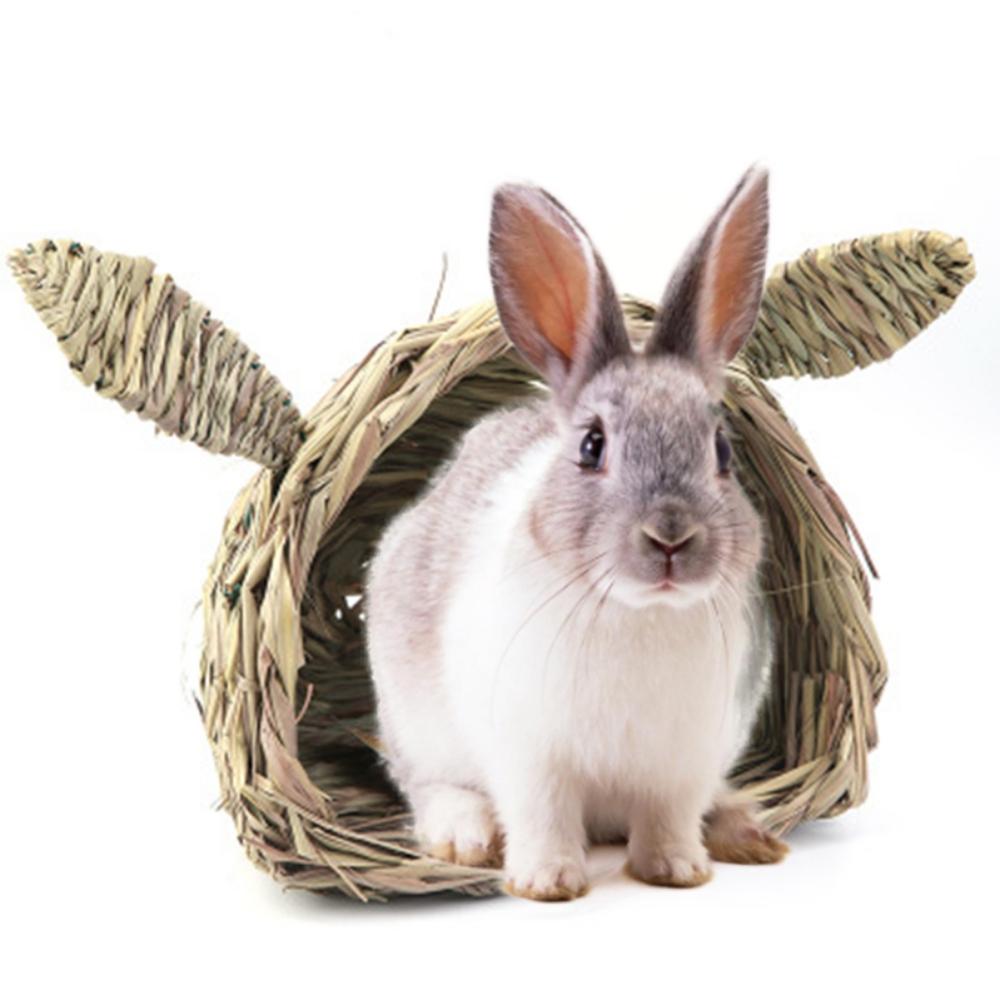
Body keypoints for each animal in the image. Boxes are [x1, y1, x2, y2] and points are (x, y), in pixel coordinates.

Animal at [365, 166, 788, 901]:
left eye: (723, 451)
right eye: (592, 446)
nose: (670, 538)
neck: (639, 613)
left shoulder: (684, 763)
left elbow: (669, 818)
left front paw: (678, 871)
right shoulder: (531, 758)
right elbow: (543, 815)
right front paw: (547, 882)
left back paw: (747, 832)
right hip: (417, 728)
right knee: (428, 788)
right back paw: (464, 835)